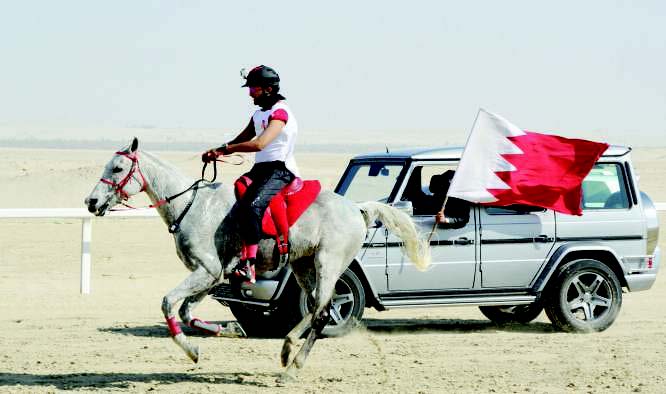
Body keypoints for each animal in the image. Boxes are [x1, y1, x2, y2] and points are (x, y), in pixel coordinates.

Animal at [84, 139, 430, 378]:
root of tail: (358, 209)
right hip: (302, 265)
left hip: (328, 263)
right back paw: (286, 349)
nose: (91, 202)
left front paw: (193, 350)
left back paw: (293, 367)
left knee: (322, 311)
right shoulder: (213, 276)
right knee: (317, 306)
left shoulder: (207, 270)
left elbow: (169, 303)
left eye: (117, 168)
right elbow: (186, 312)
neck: (193, 206)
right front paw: (228, 330)